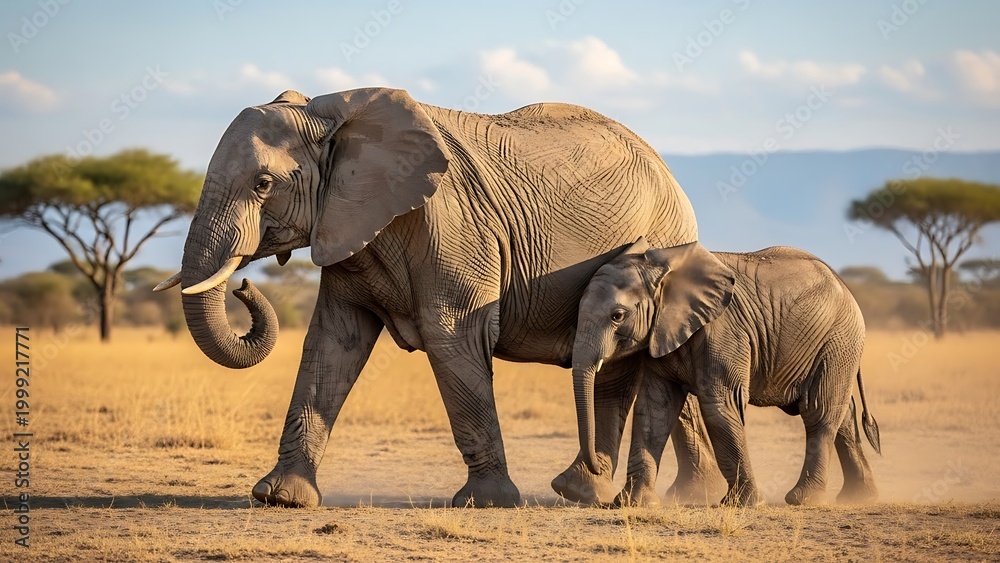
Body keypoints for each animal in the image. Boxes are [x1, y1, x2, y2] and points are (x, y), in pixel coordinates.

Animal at [153, 87, 726, 507]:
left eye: (263, 183)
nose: (245, 285)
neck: (332, 113)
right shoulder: (348, 221)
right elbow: (332, 343)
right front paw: (281, 498)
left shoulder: (452, 229)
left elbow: (453, 339)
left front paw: (487, 503)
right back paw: (682, 495)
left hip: (659, 244)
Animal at [571, 238, 881, 506]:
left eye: (618, 316)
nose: (596, 467)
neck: (662, 268)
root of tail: (844, 286)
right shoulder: (659, 333)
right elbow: (654, 409)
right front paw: (632, 503)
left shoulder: (723, 331)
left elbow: (719, 406)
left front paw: (745, 504)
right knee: (843, 416)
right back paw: (859, 498)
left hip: (838, 340)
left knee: (819, 410)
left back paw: (803, 500)